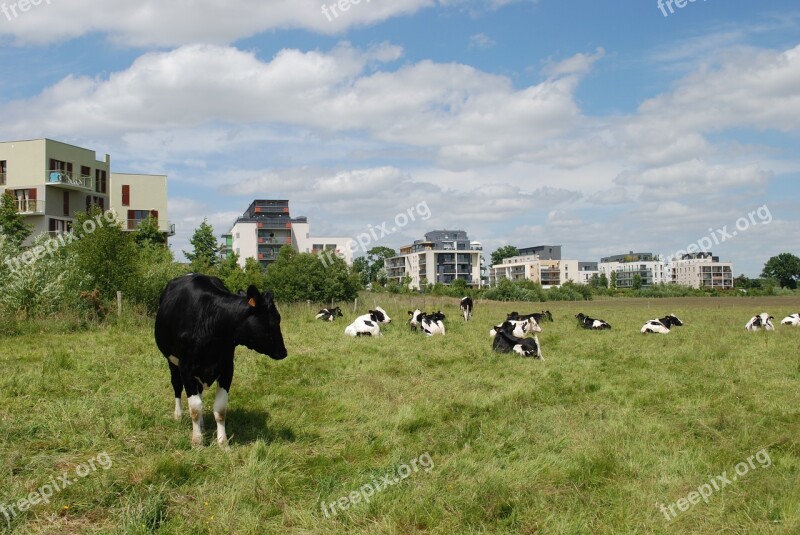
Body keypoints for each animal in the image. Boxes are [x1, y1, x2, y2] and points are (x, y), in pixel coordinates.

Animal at [153, 276, 288, 448]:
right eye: (275, 319)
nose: (283, 352)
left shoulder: (227, 368)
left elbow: (220, 409)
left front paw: (223, 442)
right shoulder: (186, 368)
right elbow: (195, 408)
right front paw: (197, 441)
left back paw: (202, 425)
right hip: (172, 362)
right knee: (177, 386)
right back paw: (178, 415)